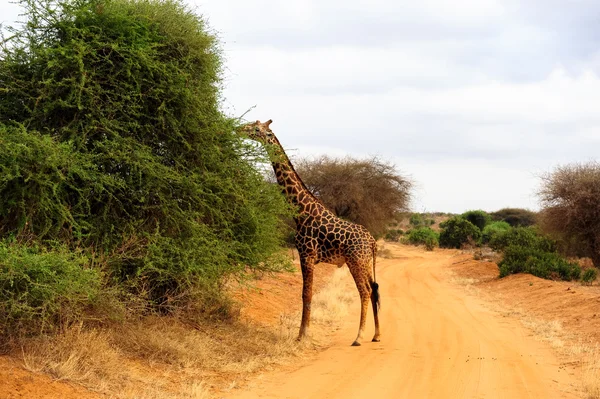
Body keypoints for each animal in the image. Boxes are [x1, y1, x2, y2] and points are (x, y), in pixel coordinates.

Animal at [239, 119, 380, 346]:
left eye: (257, 129)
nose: (238, 129)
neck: (301, 212)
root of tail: (373, 242)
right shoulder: (308, 256)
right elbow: (307, 293)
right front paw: (303, 333)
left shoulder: (306, 254)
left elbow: (306, 294)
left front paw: (302, 335)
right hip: (366, 262)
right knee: (375, 288)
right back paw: (376, 334)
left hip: (355, 261)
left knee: (365, 291)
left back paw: (359, 337)